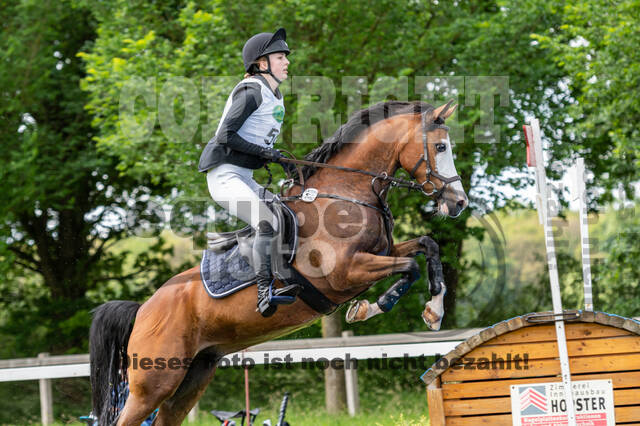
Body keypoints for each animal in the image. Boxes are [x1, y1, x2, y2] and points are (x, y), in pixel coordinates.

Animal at [89, 100, 468, 425]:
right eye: (441, 148)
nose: (459, 202)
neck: (346, 193)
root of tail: (143, 310)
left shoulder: (381, 252)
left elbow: (428, 246)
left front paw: (434, 312)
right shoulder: (346, 273)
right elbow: (410, 268)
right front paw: (369, 308)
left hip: (192, 377)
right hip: (154, 382)